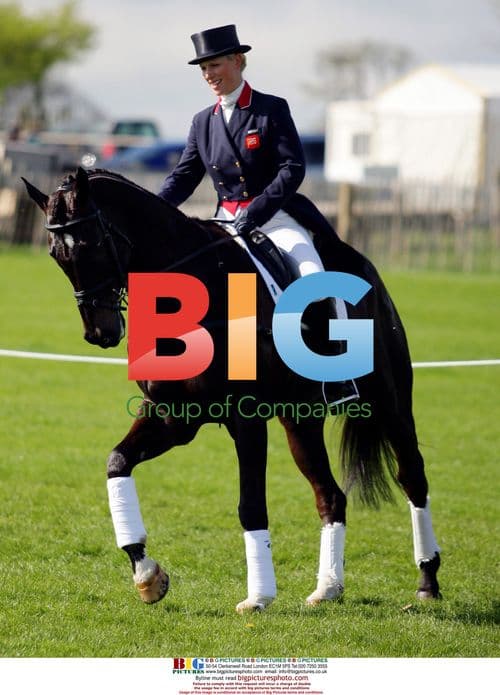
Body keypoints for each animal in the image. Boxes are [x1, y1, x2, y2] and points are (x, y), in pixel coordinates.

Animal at [23, 167, 441, 611]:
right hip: (300, 421)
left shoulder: (246, 419)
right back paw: (328, 587)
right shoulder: (172, 418)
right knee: (330, 496)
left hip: (390, 402)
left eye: (91, 245)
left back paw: (427, 581)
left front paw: (258, 597)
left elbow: (251, 506)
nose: (99, 333)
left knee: (412, 477)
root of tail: (364, 268)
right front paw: (147, 574)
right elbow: (117, 463)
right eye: (56, 255)